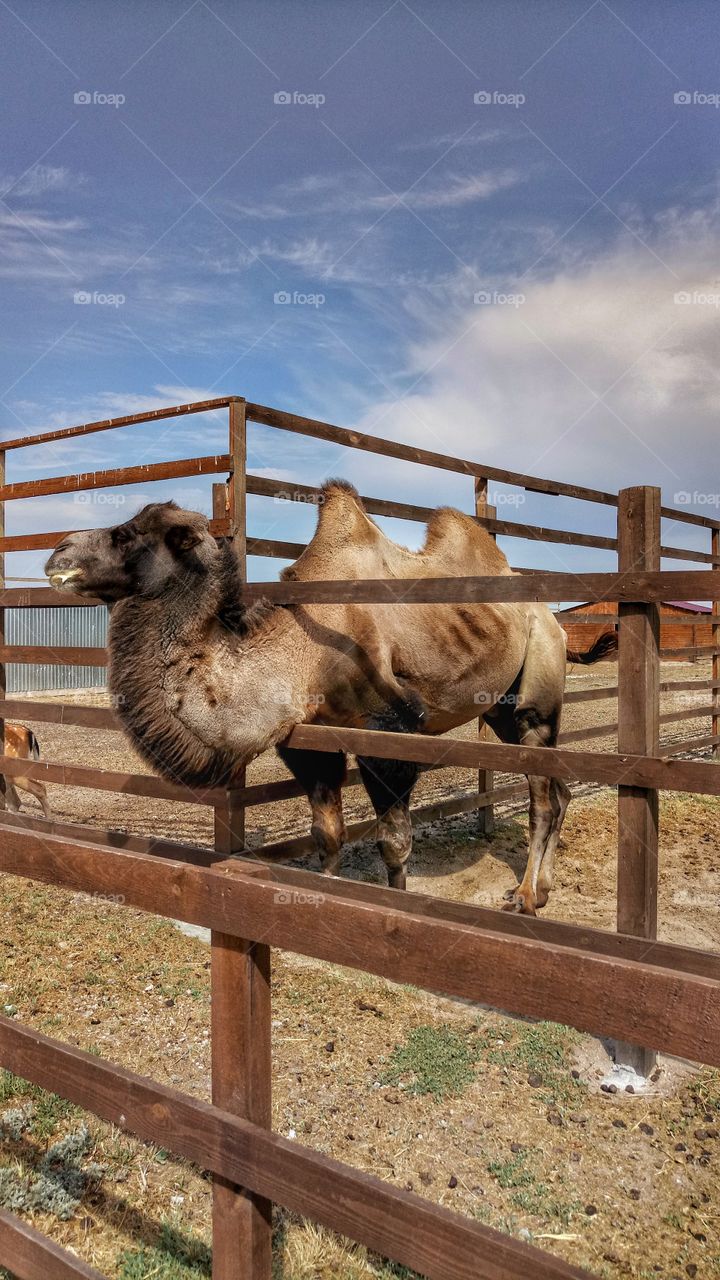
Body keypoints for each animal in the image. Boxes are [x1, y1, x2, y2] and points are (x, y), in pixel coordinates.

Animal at [44, 483, 616, 914]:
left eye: (126, 534)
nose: (57, 552)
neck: (302, 659)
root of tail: (555, 619)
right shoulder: (305, 740)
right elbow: (328, 834)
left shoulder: (392, 729)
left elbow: (393, 841)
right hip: (501, 707)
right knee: (558, 788)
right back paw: (544, 887)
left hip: (537, 690)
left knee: (542, 794)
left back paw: (525, 896)